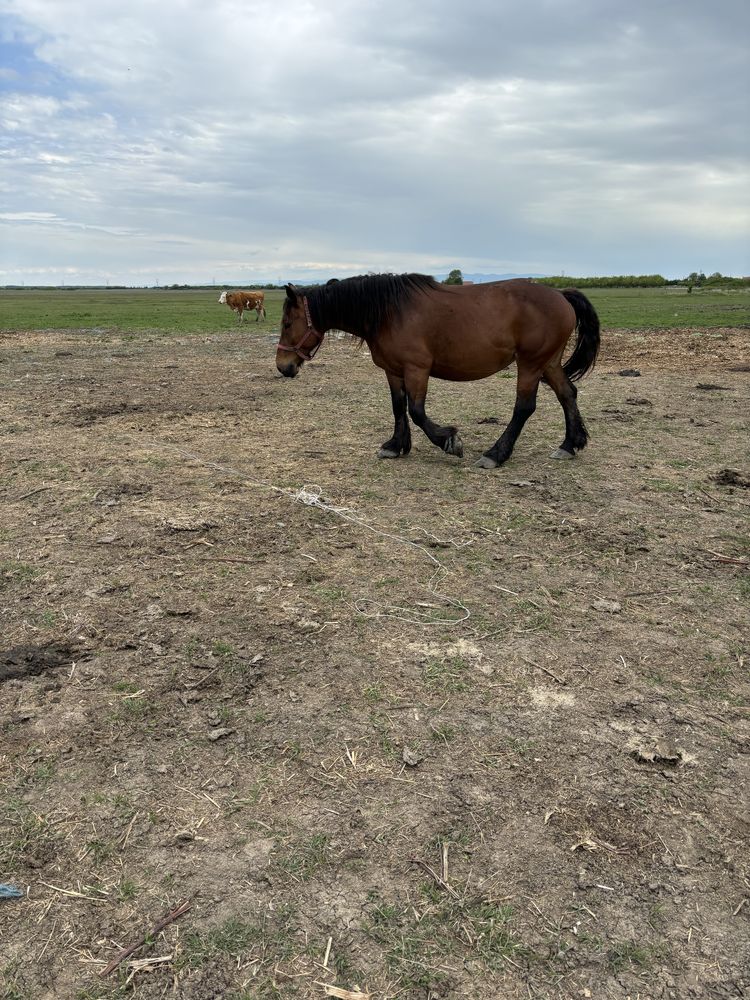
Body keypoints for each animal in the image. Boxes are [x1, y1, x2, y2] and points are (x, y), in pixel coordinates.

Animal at [274, 274, 604, 468]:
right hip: (548, 362)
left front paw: (449, 441)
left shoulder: (417, 370)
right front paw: (395, 445)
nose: (283, 366)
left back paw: (495, 454)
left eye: (287, 324)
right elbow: (398, 408)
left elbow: (417, 411)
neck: (389, 312)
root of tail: (560, 295)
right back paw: (569, 444)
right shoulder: (393, 371)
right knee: (567, 394)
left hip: (531, 364)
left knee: (524, 407)